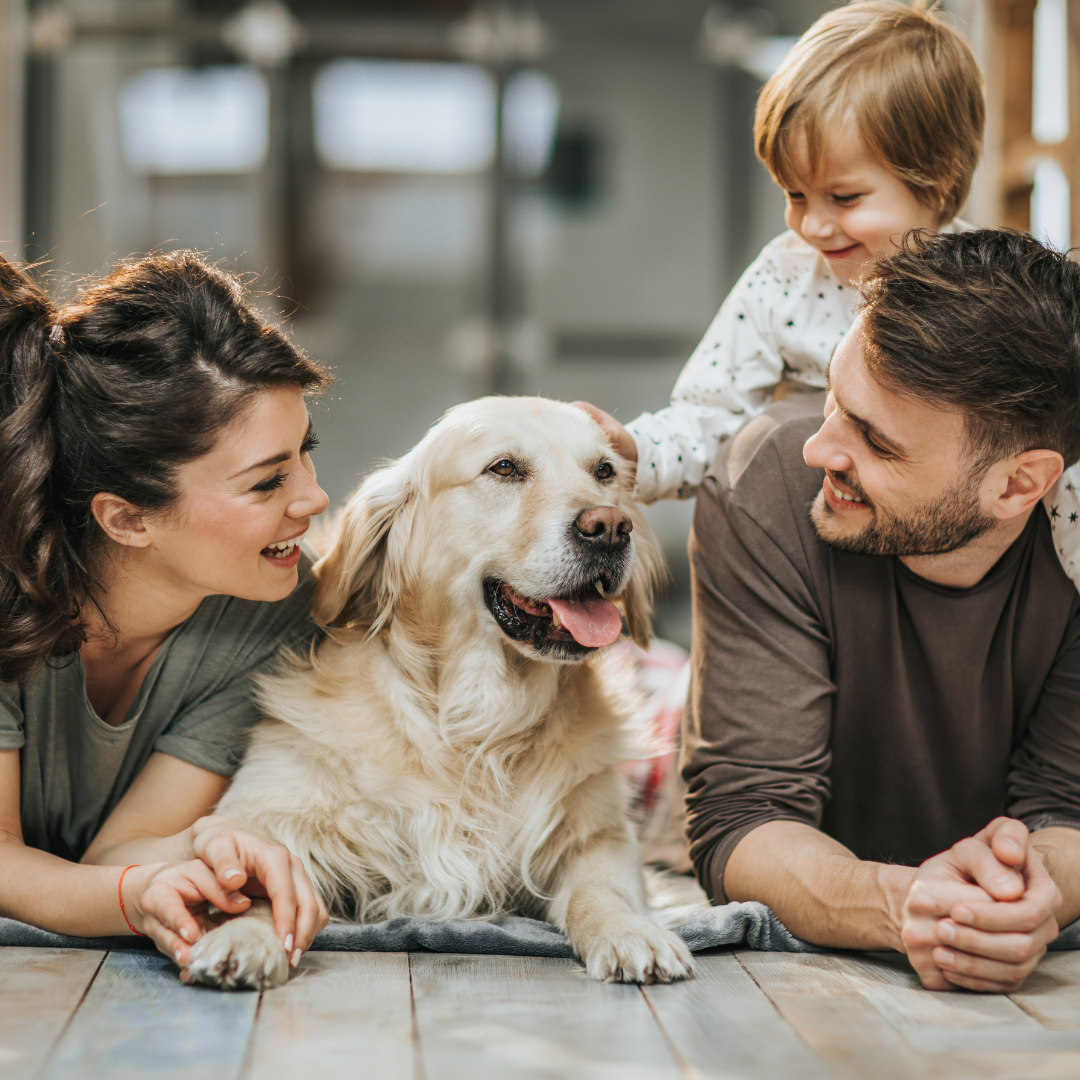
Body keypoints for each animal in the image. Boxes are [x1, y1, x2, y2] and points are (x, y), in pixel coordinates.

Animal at [182, 395, 695, 989]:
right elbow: (263, 877)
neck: (475, 722)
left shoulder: (600, 834)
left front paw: (630, 930)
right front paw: (244, 935)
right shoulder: (270, 809)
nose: (611, 527)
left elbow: (602, 888)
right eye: (504, 468)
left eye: (605, 472)